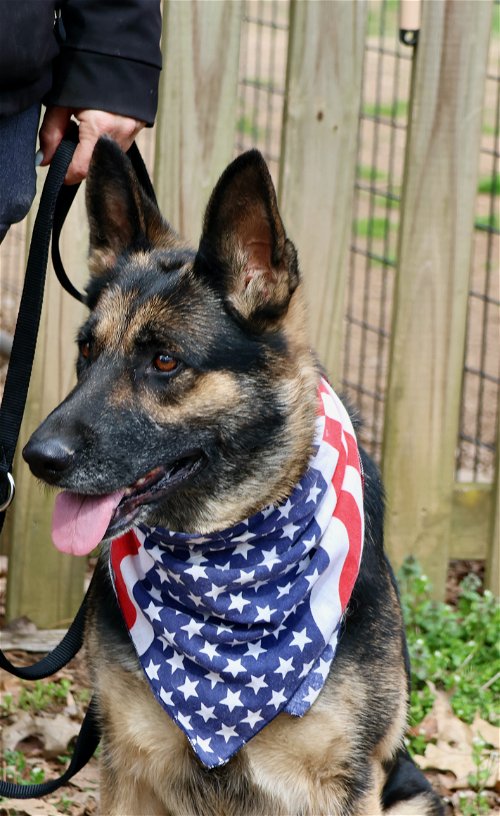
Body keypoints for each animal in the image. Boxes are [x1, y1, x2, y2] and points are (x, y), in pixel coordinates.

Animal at [23, 142, 442, 816]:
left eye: (165, 360)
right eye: (87, 350)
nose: (38, 458)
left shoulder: (346, 785)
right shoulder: (128, 765)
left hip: (414, 796)